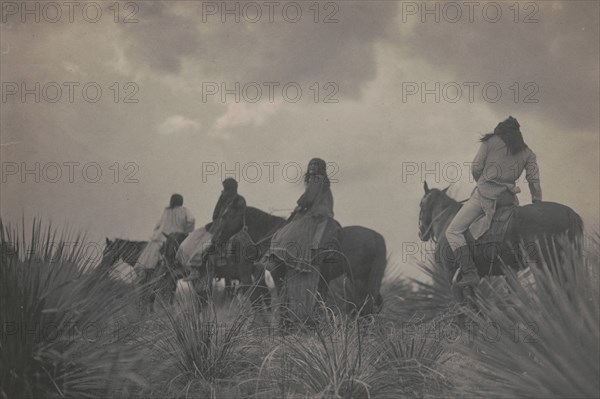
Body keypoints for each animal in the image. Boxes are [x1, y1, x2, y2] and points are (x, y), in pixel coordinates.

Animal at [211, 202, 390, 318]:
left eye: (225, 216)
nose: (214, 241)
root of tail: (378, 237)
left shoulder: (278, 274)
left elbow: (283, 301)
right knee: (372, 302)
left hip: (358, 278)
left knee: (366, 303)